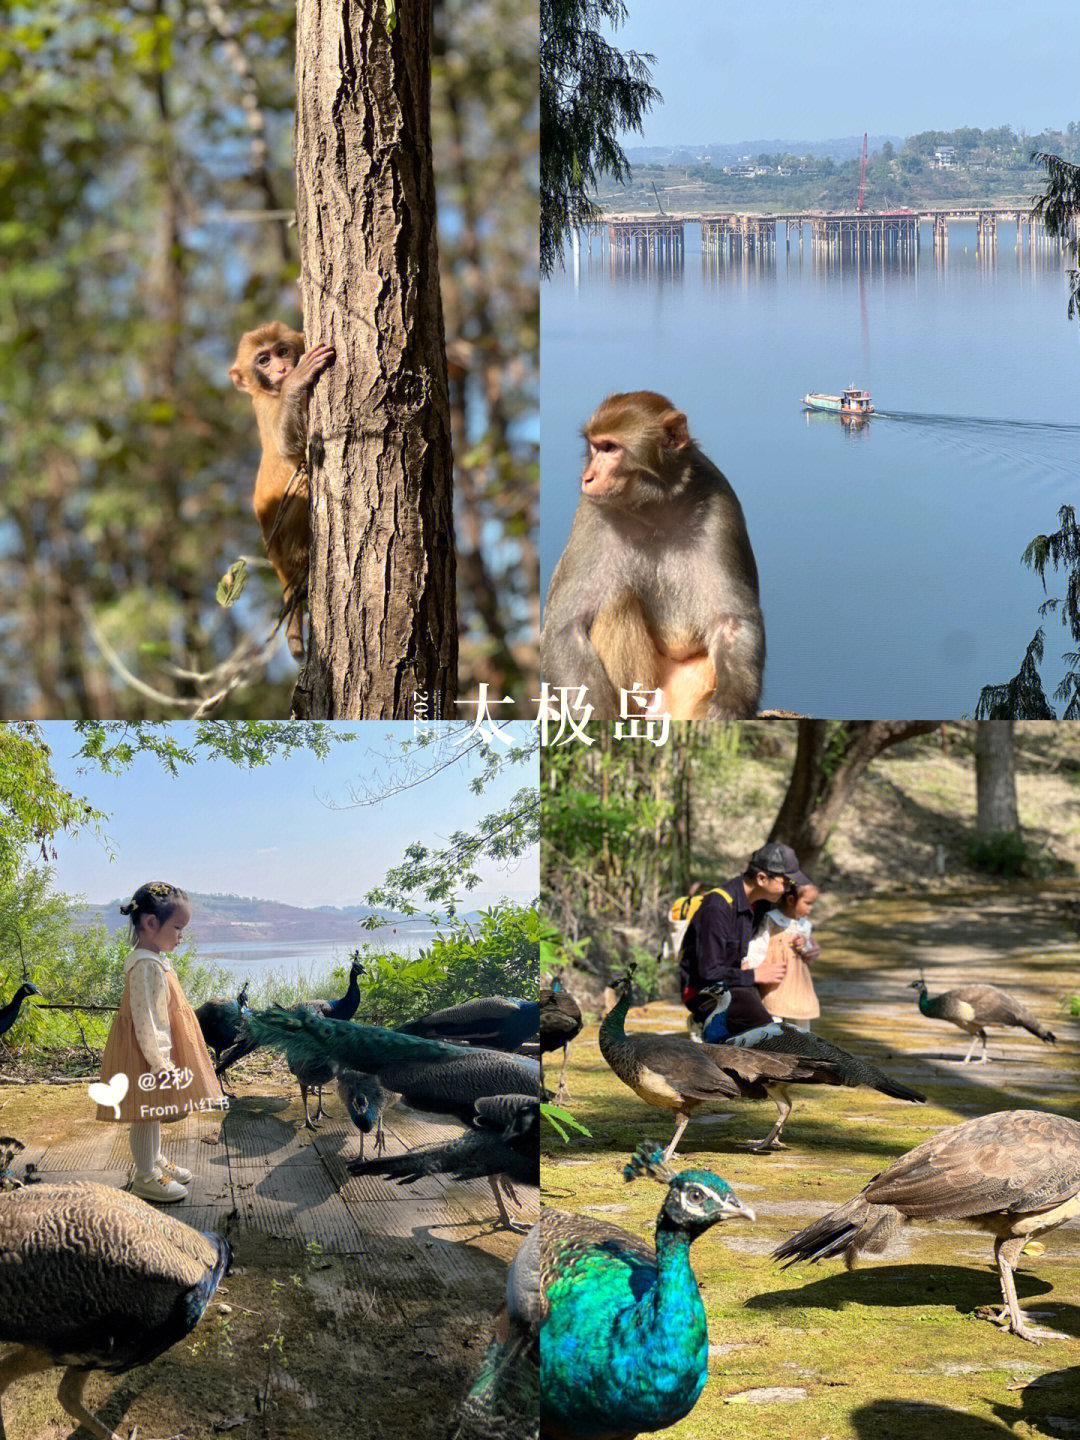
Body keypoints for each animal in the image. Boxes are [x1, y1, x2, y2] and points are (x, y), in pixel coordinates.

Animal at [233, 319, 338, 659]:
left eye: (282, 351)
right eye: (263, 360)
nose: (282, 368)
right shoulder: (266, 406)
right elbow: (286, 442)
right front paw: (296, 381)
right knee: (303, 485)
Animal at [541, 391, 771, 720]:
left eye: (610, 448)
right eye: (595, 447)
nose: (588, 477)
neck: (653, 509)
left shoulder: (721, 505)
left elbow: (731, 621)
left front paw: (729, 706)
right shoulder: (591, 514)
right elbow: (565, 628)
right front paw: (600, 718)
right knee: (616, 599)